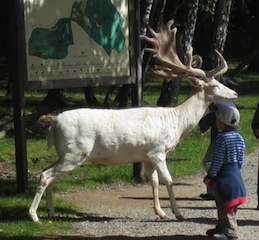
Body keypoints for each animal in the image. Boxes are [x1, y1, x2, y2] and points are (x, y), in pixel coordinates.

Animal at [28, 19, 238, 222]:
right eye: (214, 85)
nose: (235, 93)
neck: (176, 122)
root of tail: (54, 125)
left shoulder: (146, 155)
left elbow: (153, 182)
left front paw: (160, 212)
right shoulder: (157, 150)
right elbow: (169, 180)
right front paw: (177, 213)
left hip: (65, 153)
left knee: (46, 172)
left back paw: (51, 212)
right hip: (76, 152)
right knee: (44, 176)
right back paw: (34, 216)